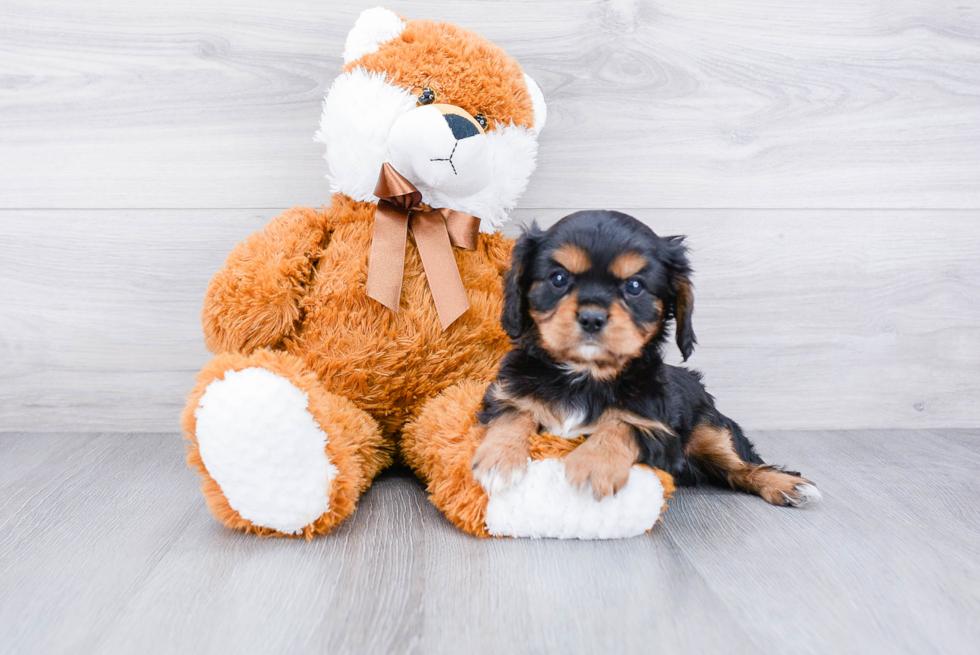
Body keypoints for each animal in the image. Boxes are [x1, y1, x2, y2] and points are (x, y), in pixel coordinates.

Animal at [470, 211, 824, 508]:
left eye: (635, 286)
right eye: (558, 279)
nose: (592, 318)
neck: (585, 375)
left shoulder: (661, 429)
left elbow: (624, 424)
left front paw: (594, 465)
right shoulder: (507, 392)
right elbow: (514, 414)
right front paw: (498, 460)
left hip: (711, 428)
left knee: (739, 467)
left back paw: (786, 485)